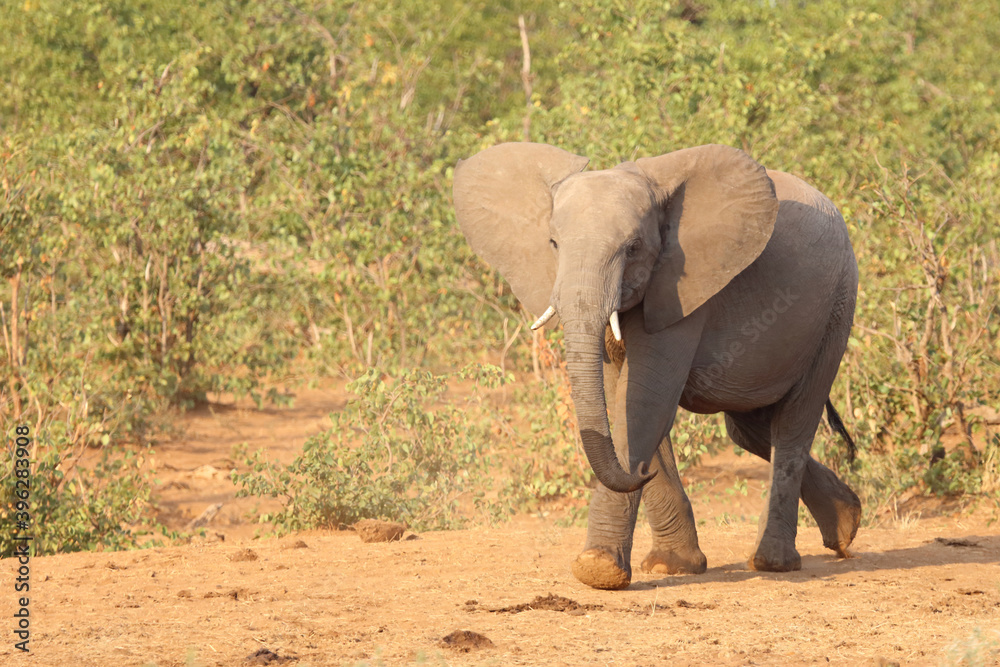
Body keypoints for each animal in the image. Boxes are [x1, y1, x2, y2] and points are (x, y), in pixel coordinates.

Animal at [458, 141, 864, 588]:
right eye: (553, 244)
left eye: (634, 247)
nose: (637, 472)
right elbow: (625, 397)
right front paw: (671, 566)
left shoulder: (682, 288)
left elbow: (643, 401)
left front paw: (597, 569)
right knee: (749, 429)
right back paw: (846, 525)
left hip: (837, 309)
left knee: (793, 423)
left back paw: (774, 562)